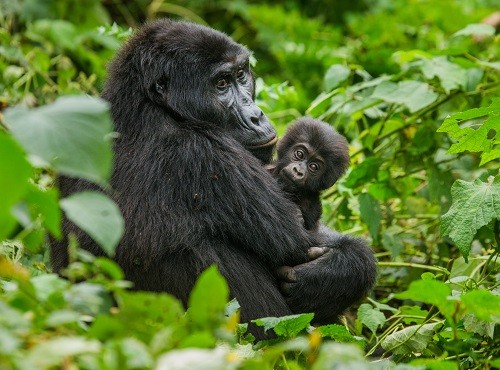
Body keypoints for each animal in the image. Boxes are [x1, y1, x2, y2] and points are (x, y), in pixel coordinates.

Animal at [51, 18, 376, 332]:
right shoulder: (207, 154)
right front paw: (339, 272)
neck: (149, 105)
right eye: (221, 83)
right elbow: (298, 242)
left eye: (242, 75)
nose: (256, 116)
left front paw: (334, 272)